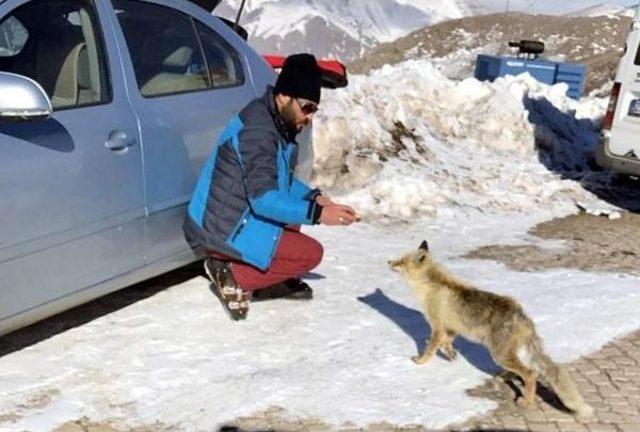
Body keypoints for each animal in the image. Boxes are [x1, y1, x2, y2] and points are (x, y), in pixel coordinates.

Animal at [390, 240, 596, 418]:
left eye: (401, 261)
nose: (388, 262)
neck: (432, 285)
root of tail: (522, 316)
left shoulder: (437, 326)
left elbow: (430, 349)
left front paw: (420, 361)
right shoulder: (451, 327)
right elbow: (447, 343)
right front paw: (450, 354)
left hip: (499, 354)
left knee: (530, 373)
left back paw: (527, 401)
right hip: (505, 354)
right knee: (519, 371)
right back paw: (504, 377)